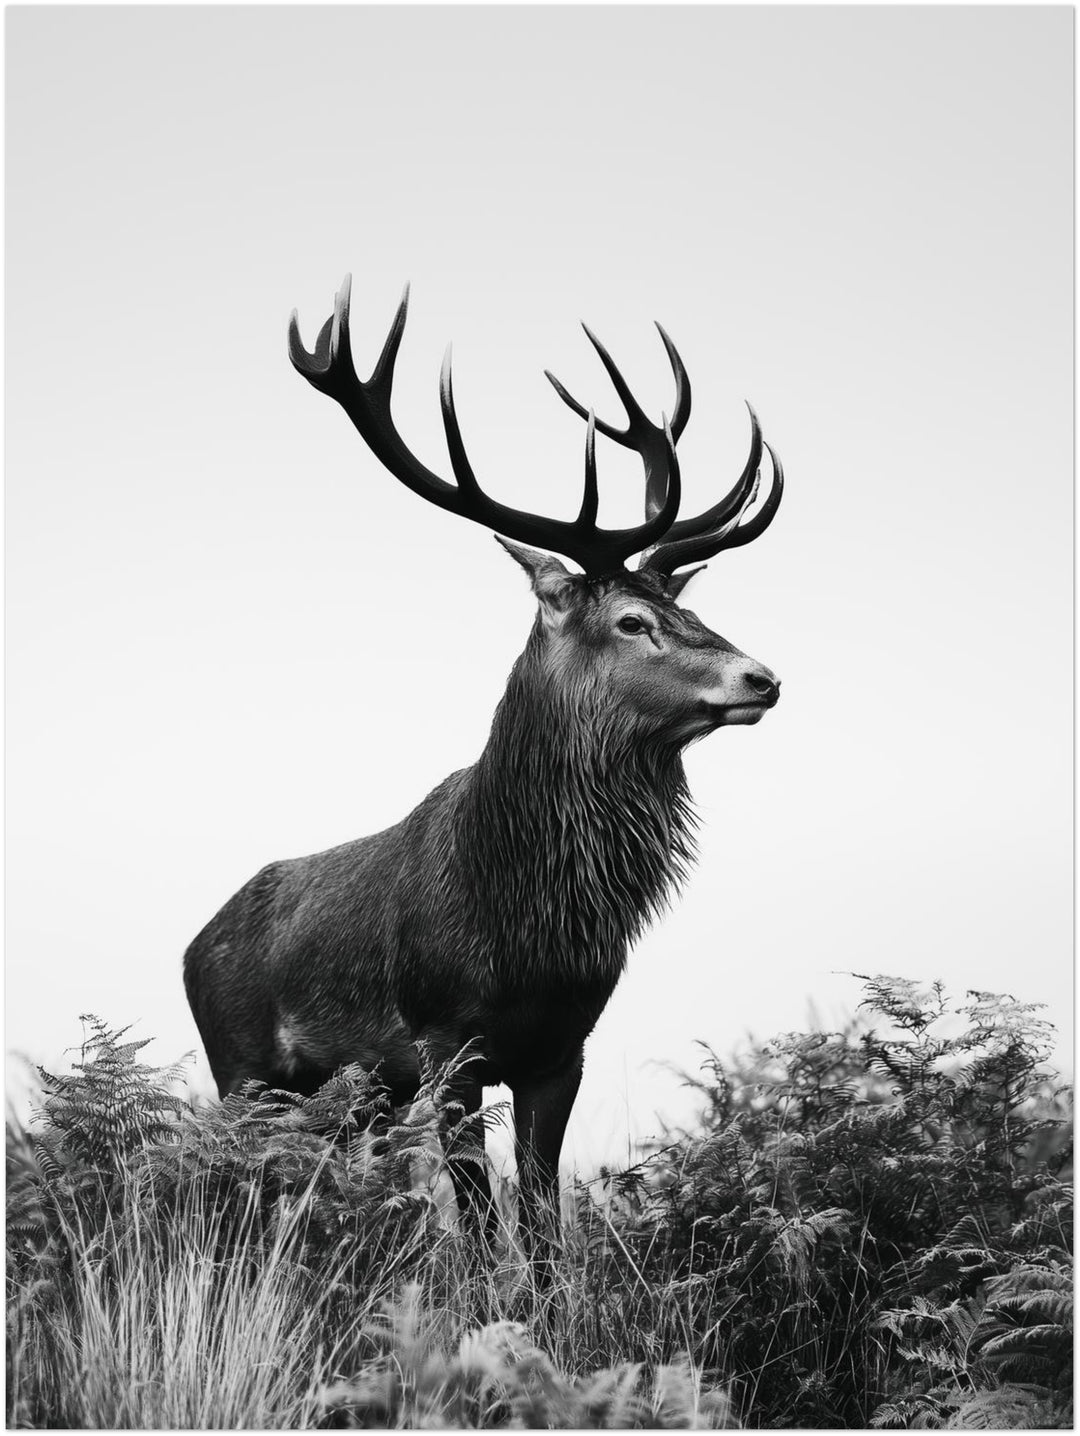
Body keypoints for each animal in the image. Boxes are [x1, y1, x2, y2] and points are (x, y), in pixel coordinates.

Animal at [183, 275, 784, 1262]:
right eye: (630, 621)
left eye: (686, 608)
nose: (763, 677)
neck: (524, 919)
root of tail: (193, 942)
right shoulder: (446, 1041)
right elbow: (474, 1217)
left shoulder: (562, 1047)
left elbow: (539, 1220)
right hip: (241, 1067)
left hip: (351, 1098)